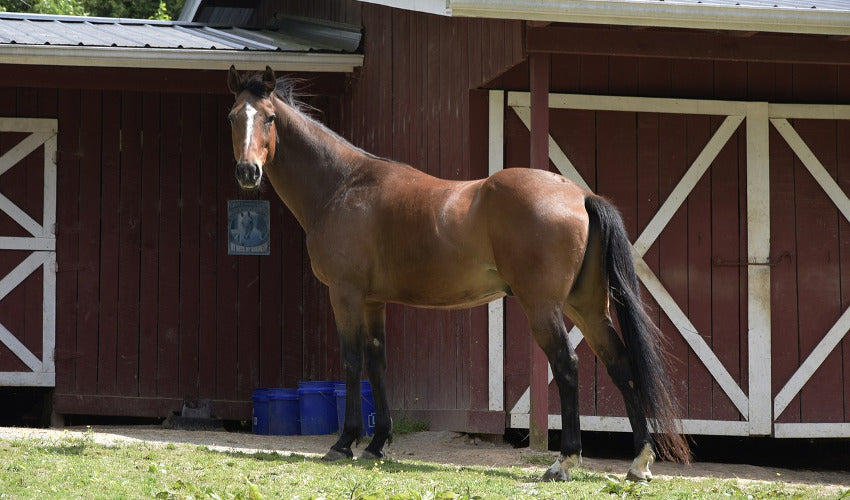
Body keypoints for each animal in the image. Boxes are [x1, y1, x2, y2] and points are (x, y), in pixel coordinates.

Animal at [226, 66, 690, 482]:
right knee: (620, 364)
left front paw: (344, 443)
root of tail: (580, 195)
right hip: (588, 308)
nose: (248, 172)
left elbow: (353, 361)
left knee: (568, 365)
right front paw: (377, 443)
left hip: (544, 308)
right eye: (233, 116)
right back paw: (638, 462)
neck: (342, 185)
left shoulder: (346, 295)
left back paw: (564, 462)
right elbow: (377, 361)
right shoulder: (374, 301)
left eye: (269, 117)